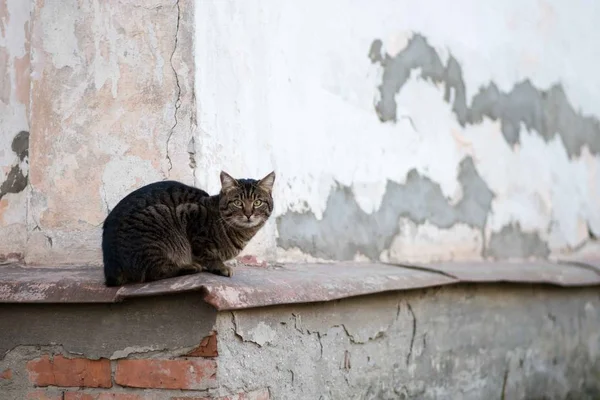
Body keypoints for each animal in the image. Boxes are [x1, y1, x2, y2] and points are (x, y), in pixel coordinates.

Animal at [102, 170, 276, 286]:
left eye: (257, 202)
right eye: (238, 203)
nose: (248, 214)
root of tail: (110, 267)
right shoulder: (190, 215)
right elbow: (207, 254)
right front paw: (220, 266)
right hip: (158, 219)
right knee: (155, 272)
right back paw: (189, 267)